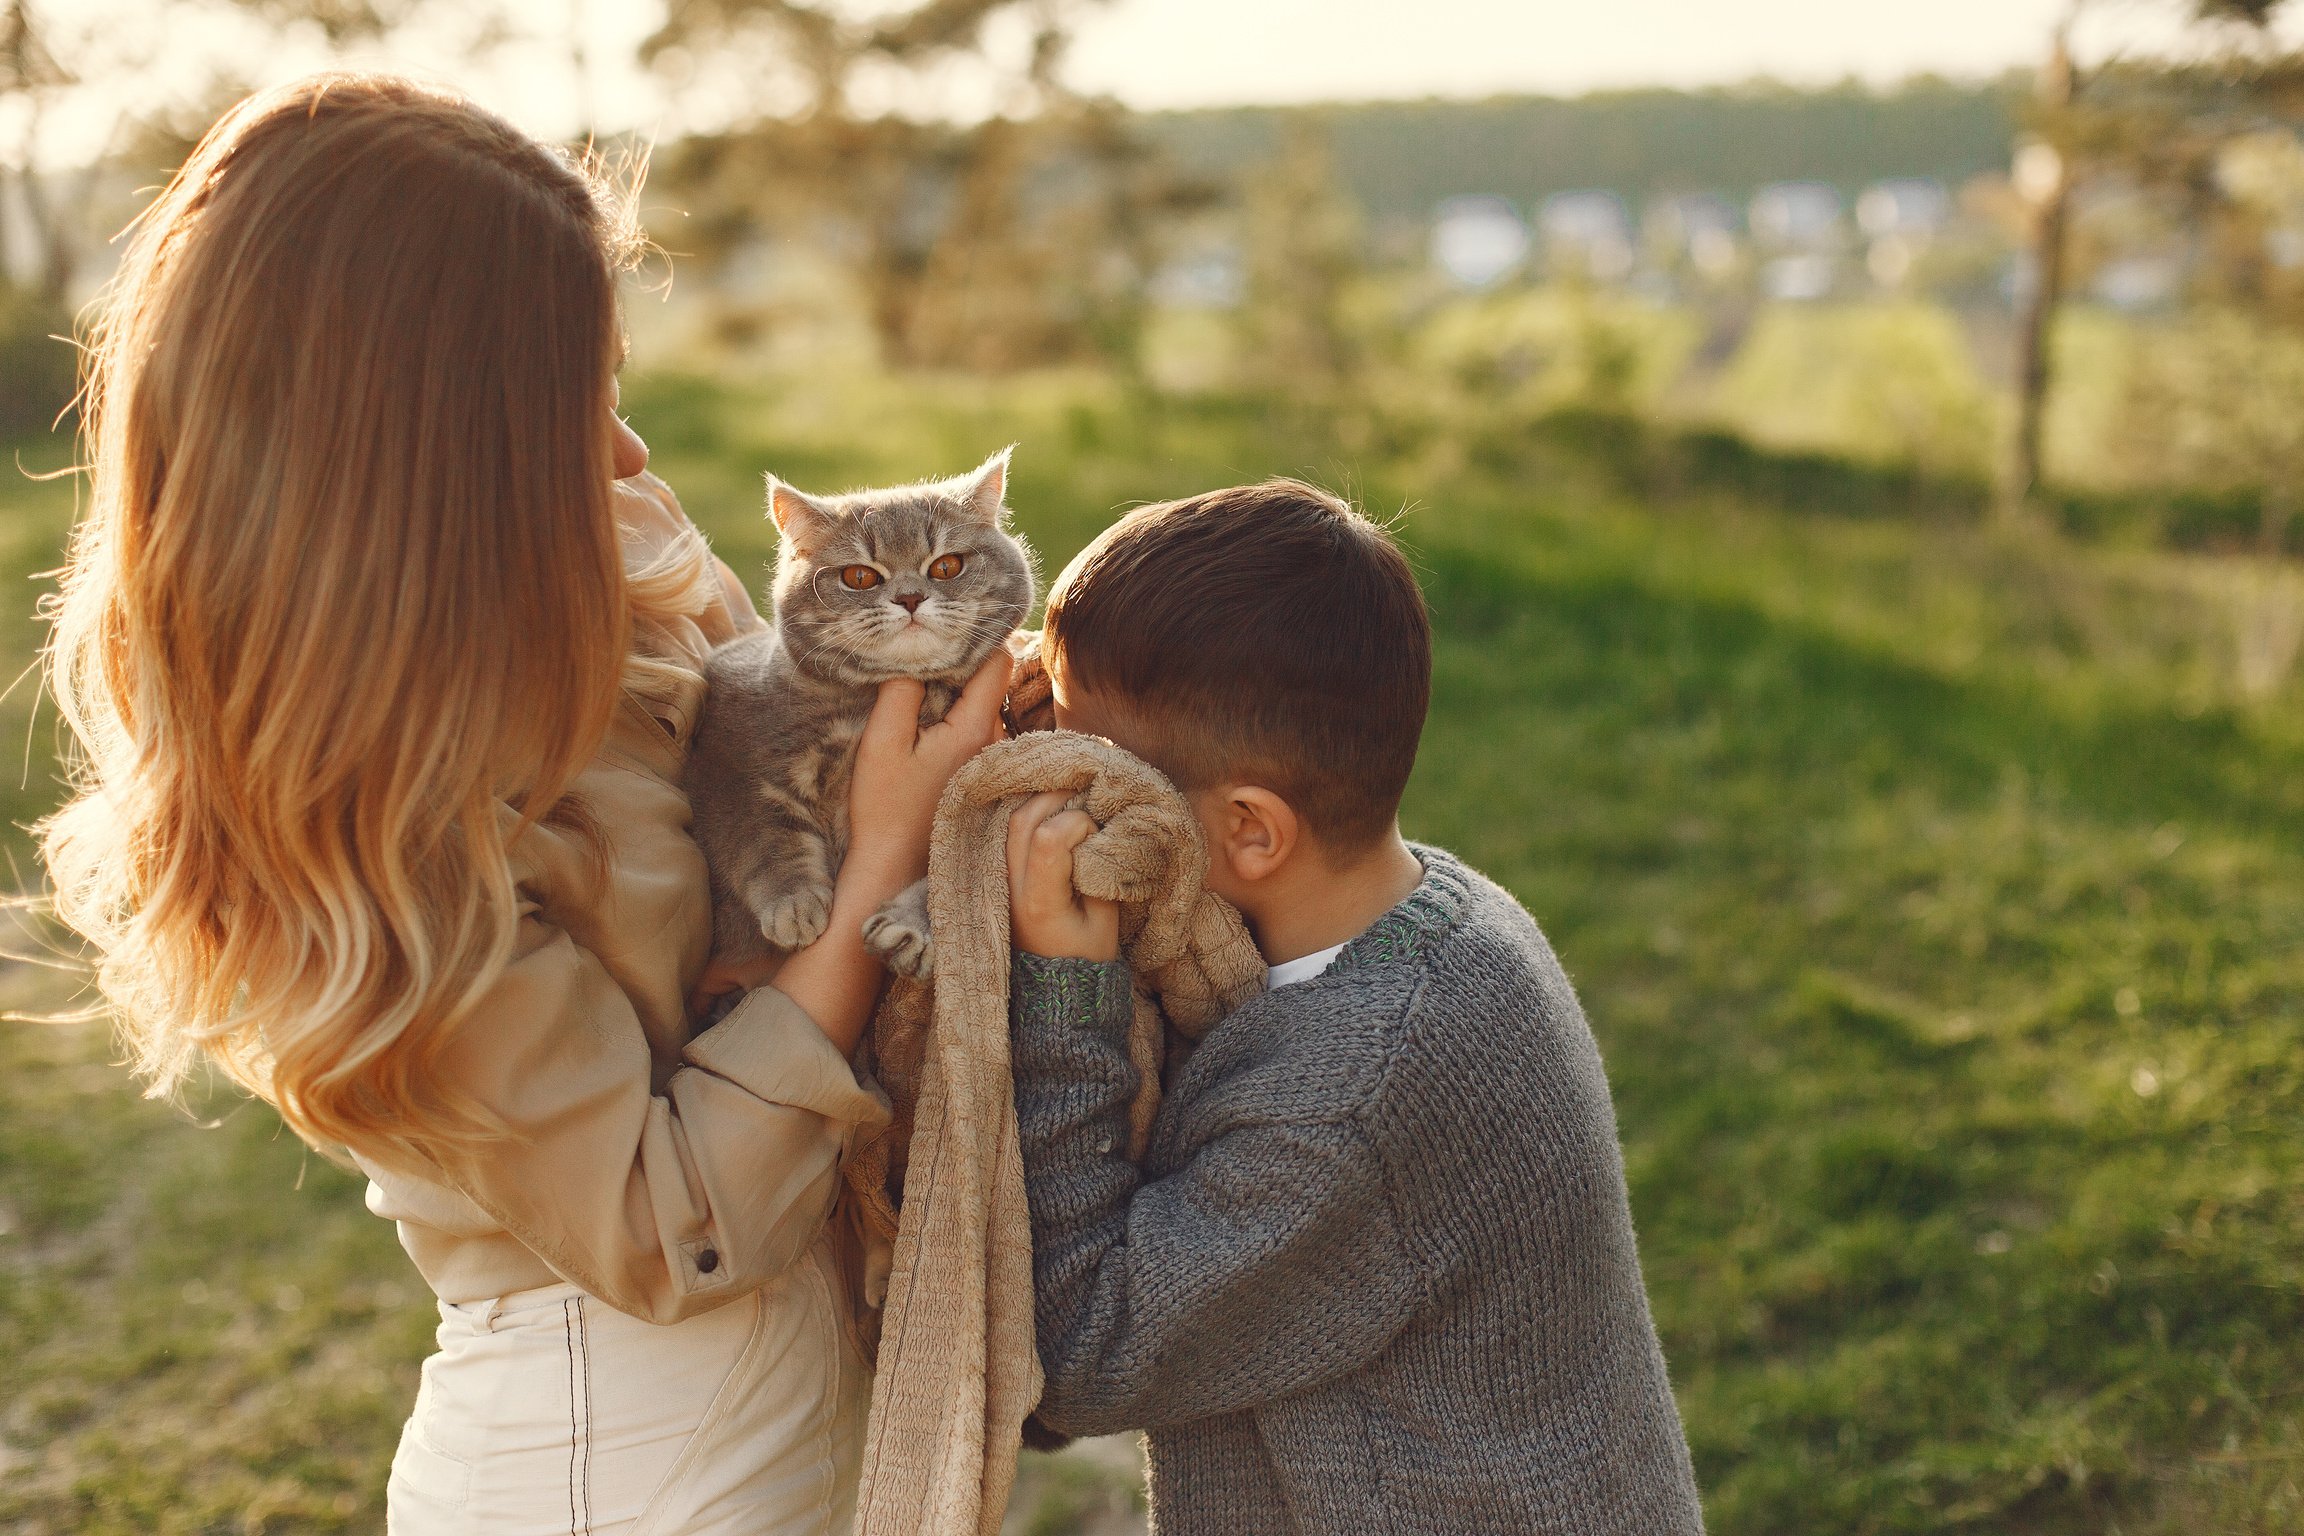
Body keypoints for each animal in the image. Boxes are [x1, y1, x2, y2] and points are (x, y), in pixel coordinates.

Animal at [681, 451, 1036, 981]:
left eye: (946, 566)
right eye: (861, 577)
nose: (910, 598)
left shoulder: (981, 794)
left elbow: (954, 868)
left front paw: (913, 928)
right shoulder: (728, 759)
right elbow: (762, 833)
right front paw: (793, 903)